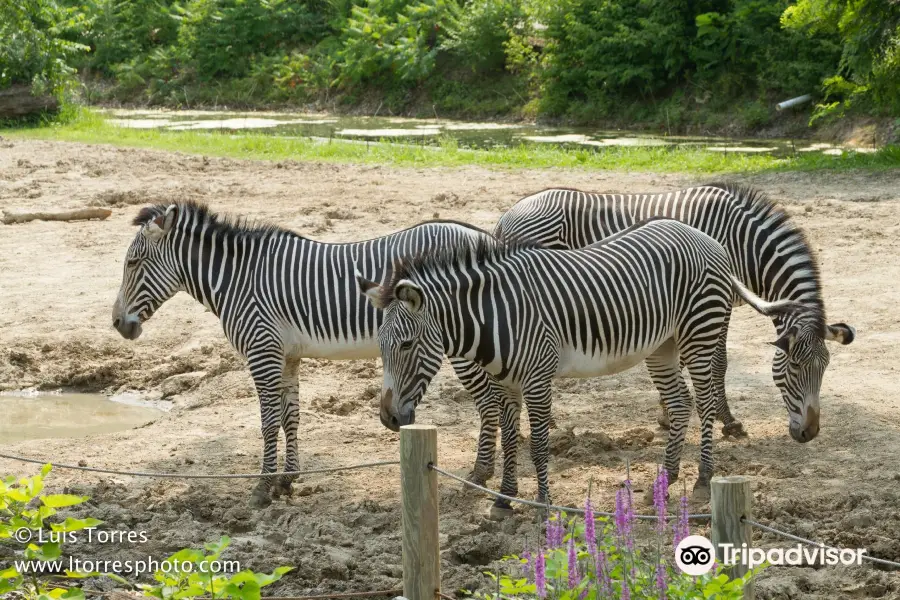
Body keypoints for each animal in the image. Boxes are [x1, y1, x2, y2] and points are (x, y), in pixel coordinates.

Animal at [110, 202, 500, 506]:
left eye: (133, 263)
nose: (116, 323)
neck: (236, 280)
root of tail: (485, 236)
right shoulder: (286, 356)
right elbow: (290, 418)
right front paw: (286, 480)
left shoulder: (262, 350)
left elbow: (268, 422)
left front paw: (262, 487)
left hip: (463, 346)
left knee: (489, 403)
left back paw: (480, 474)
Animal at [356, 218, 792, 512]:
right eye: (381, 347)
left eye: (407, 345)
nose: (389, 419)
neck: (494, 315)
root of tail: (707, 238)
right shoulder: (505, 384)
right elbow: (511, 439)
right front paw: (504, 499)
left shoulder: (537, 378)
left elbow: (539, 446)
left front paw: (543, 505)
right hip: (662, 345)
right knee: (682, 404)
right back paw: (665, 481)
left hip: (699, 333)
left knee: (704, 401)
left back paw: (703, 477)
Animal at [488, 183, 856, 440]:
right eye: (795, 368)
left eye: (824, 369)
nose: (809, 434)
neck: (746, 243)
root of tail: (508, 215)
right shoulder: (718, 300)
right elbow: (719, 363)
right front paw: (727, 421)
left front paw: (668, 414)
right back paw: (545, 422)